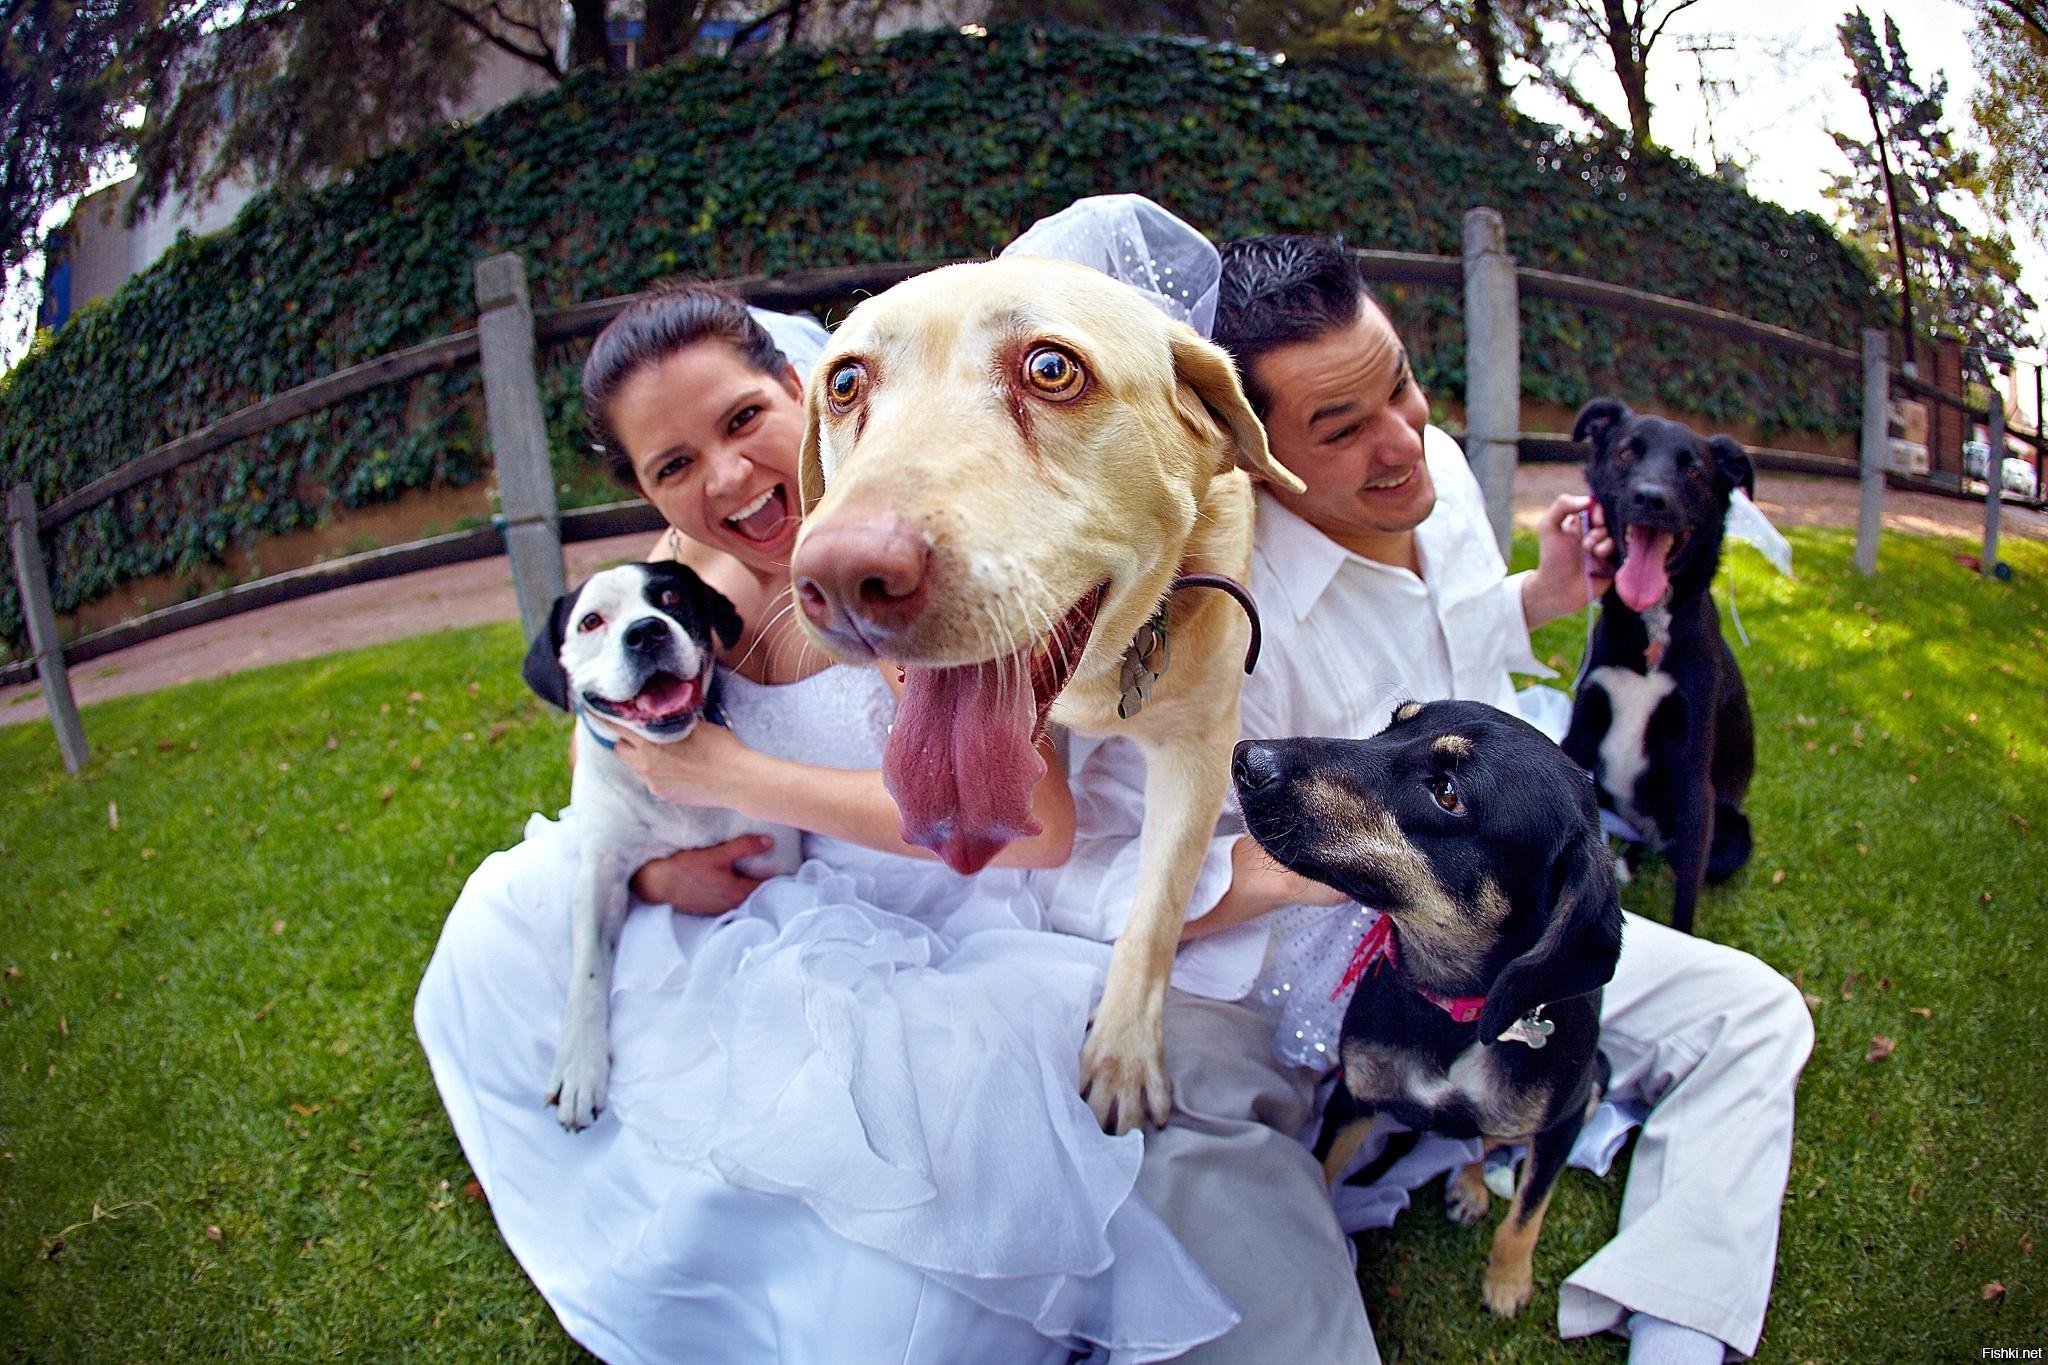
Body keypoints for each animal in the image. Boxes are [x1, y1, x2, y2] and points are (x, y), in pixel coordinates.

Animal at [520, 560, 798, 1129]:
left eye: (670, 597)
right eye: (590, 622)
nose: (646, 632)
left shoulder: (773, 857)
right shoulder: (600, 873)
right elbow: (587, 968)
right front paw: (580, 1066)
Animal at [790, 258, 1302, 1129]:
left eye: (1052, 369)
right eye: (846, 382)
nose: (843, 577)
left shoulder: (1200, 748)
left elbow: (1157, 909)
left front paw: (1124, 1054)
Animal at [1228, 699, 1613, 1317]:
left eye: (1448, 793)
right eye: (1392, 724)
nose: (1245, 758)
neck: (1454, 1010)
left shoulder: (1565, 1121)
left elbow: (1527, 1214)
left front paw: (1508, 1281)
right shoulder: (1353, 1097)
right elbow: (1321, 1170)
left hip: (1597, 1080)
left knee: (1493, 1144)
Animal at [1564, 388, 1761, 933]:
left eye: (1692, 469)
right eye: (1627, 451)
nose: (1652, 498)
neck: (1650, 627)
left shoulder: (1694, 775)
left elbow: (1685, 898)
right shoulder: (1582, 731)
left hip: (1734, 832)